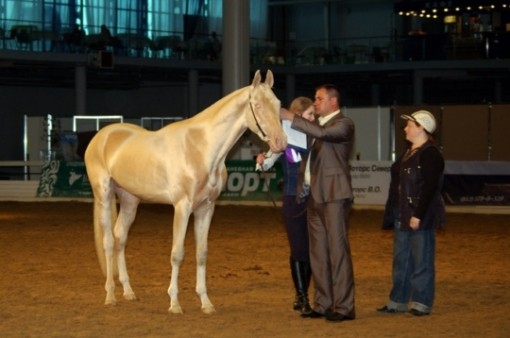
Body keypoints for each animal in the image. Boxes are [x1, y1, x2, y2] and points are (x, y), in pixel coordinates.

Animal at [85, 69, 288, 314]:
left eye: (278, 104)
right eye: (257, 105)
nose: (281, 143)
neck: (200, 148)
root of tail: (102, 135)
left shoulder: (206, 209)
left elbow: (201, 254)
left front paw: (206, 303)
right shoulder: (182, 207)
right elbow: (177, 254)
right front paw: (174, 303)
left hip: (130, 199)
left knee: (120, 237)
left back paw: (128, 291)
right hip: (104, 195)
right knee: (107, 241)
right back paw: (110, 296)